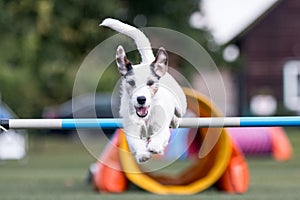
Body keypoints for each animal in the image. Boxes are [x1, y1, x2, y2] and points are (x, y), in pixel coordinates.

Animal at [99, 18, 186, 162]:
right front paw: (142, 154)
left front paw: (155, 146)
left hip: (180, 104)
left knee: (178, 111)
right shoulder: (131, 129)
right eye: (131, 82)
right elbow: (136, 142)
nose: (141, 99)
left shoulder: (160, 124)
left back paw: (175, 119)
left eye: (150, 83)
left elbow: (160, 135)